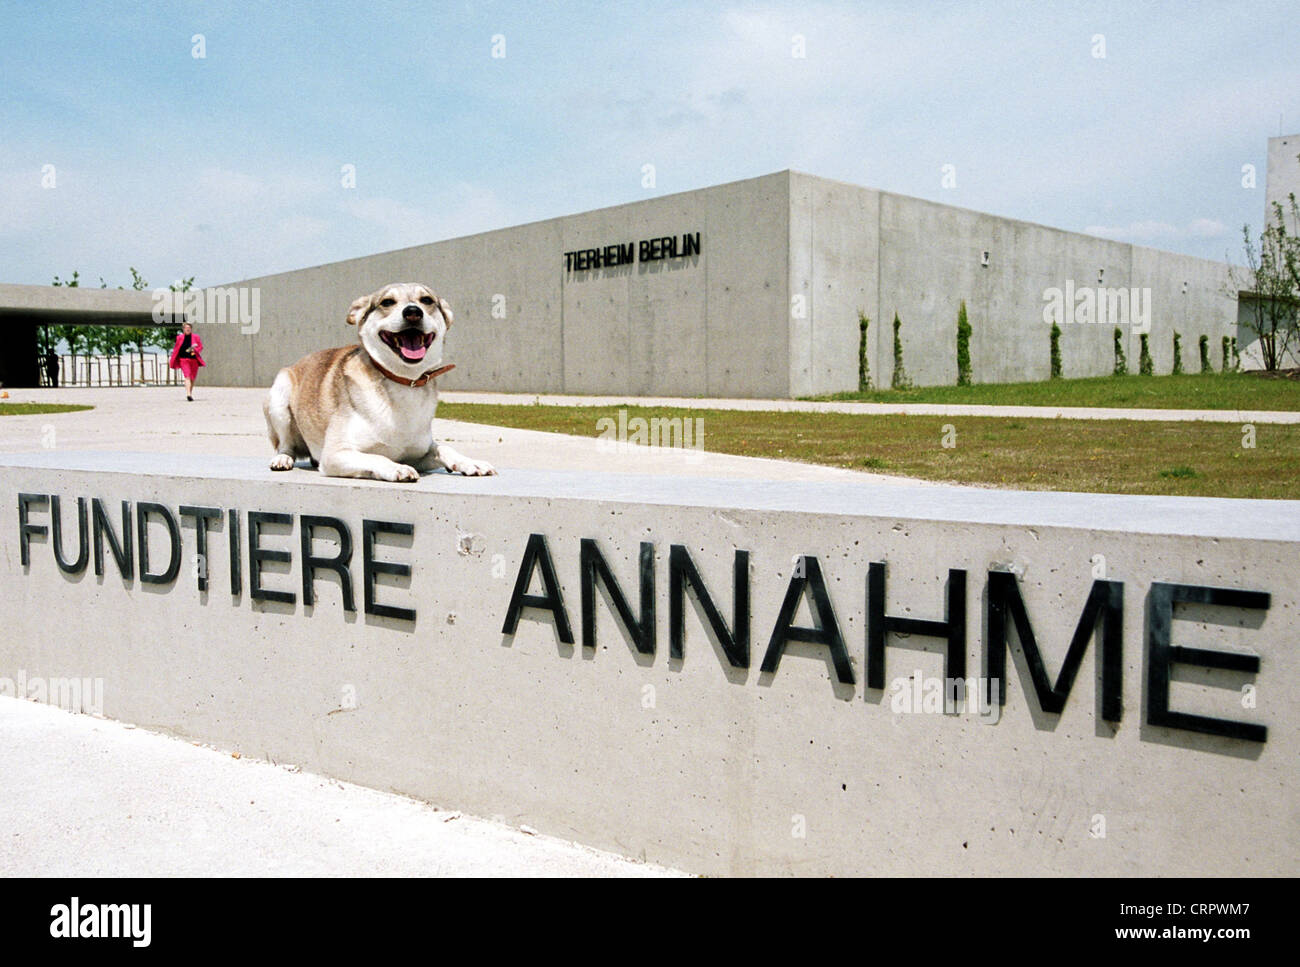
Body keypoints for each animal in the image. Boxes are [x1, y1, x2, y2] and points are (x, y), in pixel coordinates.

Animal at [261, 283, 493, 483]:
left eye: (426, 300)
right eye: (387, 302)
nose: (413, 311)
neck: (404, 382)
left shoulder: (419, 453)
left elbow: (445, 448)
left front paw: (470, 462)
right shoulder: (336, 454)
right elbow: (377, 457)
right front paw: (397, 468)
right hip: (279, 397)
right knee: (285, 445)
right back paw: (282, 459)